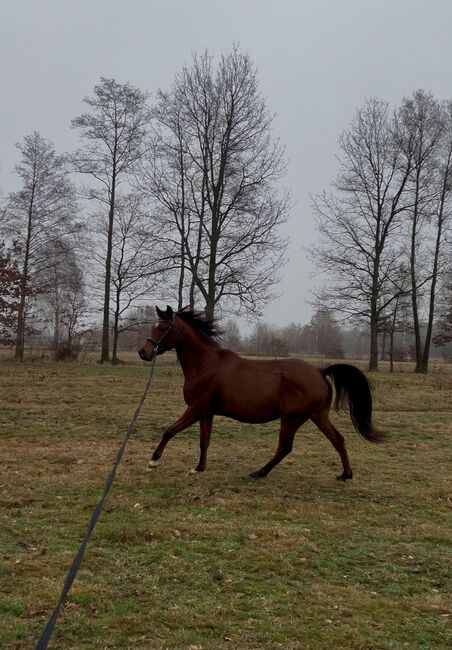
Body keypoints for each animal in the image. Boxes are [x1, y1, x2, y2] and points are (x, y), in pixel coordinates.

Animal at [138, 306, 384, 480]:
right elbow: (204, 441)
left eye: (163, 328)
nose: (144, 352)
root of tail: (319, 370)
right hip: (317, 416)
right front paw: (198, 468)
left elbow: (169, 431)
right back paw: (346, 475)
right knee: (338, 440)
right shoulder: (206, 412)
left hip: (291, 419)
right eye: (152, 327)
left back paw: (258, 473)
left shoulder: (195, 409)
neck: (205, 365)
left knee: (285, 448)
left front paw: (153, 462)